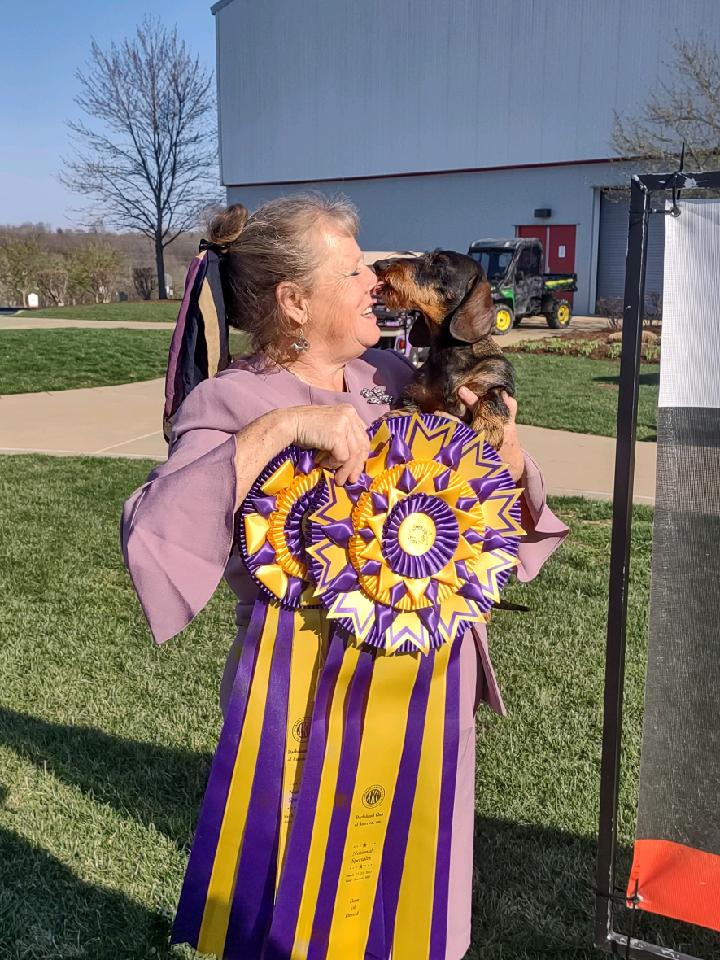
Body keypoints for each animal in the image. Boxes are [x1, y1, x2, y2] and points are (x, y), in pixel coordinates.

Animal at [374, 253, 516, 452]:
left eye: (439, 262)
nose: (378, 264)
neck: (448, 351)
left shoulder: (493, 380)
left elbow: (491, 398)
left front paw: (487, 427)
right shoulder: (414, 394)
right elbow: (411, 408)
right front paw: (397, 416)